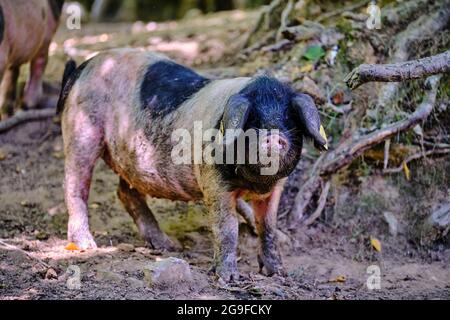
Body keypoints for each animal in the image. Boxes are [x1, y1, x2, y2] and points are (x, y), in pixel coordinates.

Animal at [57, 48, 326, 282]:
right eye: (253, 119)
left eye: (289, 118)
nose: (273, 135)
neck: (255, 182)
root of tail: (82, 67)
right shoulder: (213, 180)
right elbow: (227, 228)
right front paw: (227, 278)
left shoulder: (276, 187)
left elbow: (268, 227)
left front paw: (279, 274)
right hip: (81, 128)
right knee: (75, 184)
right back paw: (87, 245)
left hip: (130, 156)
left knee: (125, 193)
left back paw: (167, 245)